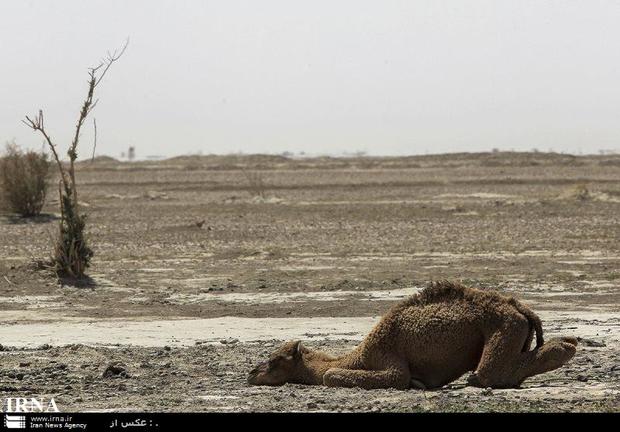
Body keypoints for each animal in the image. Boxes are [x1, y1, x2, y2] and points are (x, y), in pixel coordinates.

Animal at [246, 282, 576, 390]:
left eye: (274, 361)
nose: (251, 374)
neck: (359, 356)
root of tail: (521, 308)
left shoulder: (388, 359)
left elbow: (331, 376)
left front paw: (416, 384)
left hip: (503, 326)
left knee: (487, 374)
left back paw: (567, 346)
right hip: (514, 328)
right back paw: (568, 344)